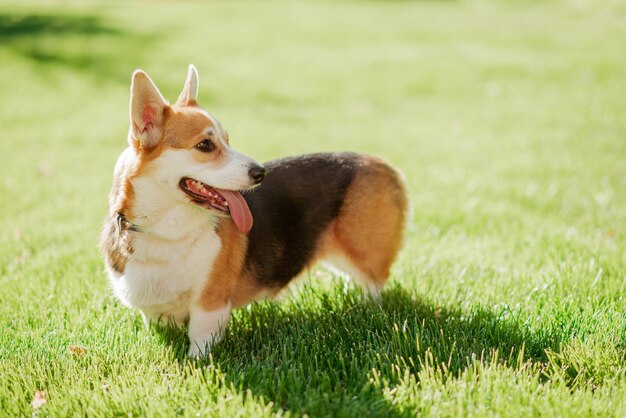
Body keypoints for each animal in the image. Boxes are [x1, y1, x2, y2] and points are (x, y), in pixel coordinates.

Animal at [100, 64, 408, 356]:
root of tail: (385, 165)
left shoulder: (209, 305)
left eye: (227, 140)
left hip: (366, 254)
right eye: (205, 145)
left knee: (374, 285)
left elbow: (199, 345)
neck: (164, 230)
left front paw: (197, 364)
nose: (261, 173)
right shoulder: (155, 312)